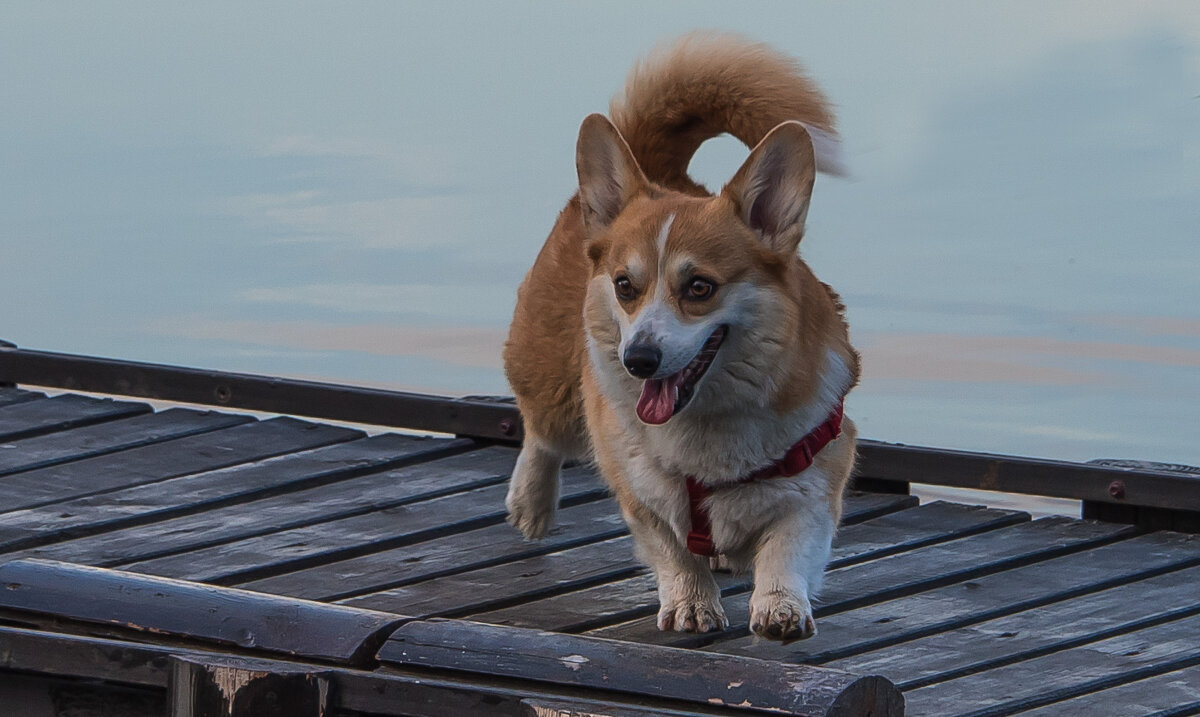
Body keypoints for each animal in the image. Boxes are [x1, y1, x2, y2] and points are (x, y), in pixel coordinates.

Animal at [501, 33, 859, 642]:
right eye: (625, 285)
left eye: (699, 287)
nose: (639, 360)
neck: (707, 427)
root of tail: (655, 167)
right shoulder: (639, 490)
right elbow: (672, 549)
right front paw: (693, 603)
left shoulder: (816, 484)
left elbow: (788, 549)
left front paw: (780, 607)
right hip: (554, 389)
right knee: (542, 434)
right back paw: (532, 504)